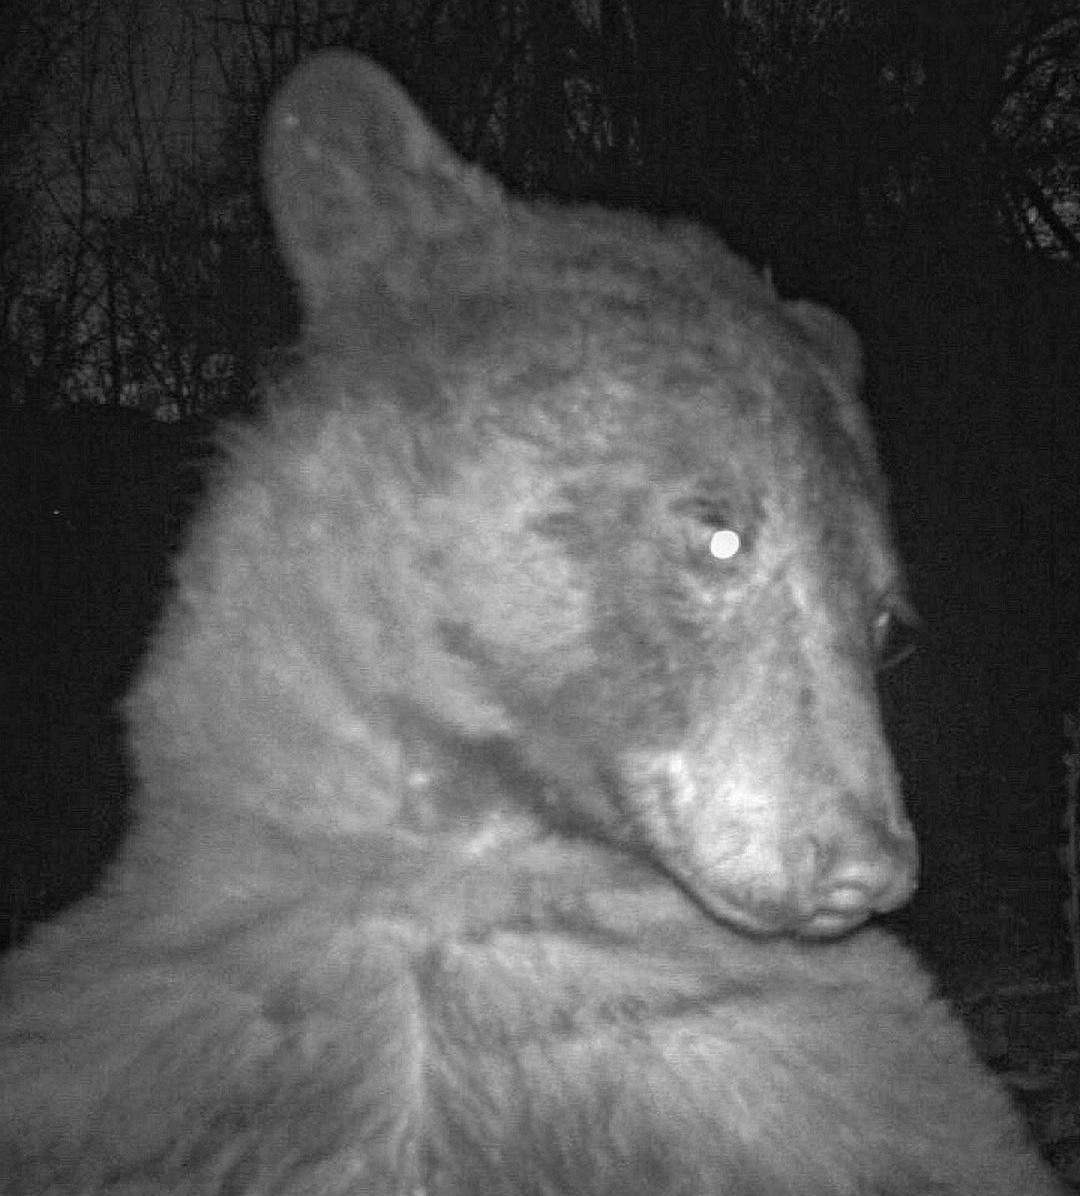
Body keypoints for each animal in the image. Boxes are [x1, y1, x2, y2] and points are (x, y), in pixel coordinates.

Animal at [0, 50, 1067, 1196]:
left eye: (883, 619)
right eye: (721, 535)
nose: (868, 860)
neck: (462, 860)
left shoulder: (814, 1073)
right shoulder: (139, 1034)